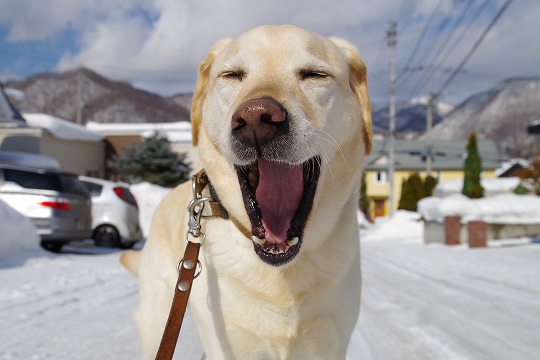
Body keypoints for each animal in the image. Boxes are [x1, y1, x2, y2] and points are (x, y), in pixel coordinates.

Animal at [122, 23, 372, 358]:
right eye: (232, 75)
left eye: (315, 74)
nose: (256, 117)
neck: (281, 273)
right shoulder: (227, 341)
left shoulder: (330, 341)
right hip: (156, 323)